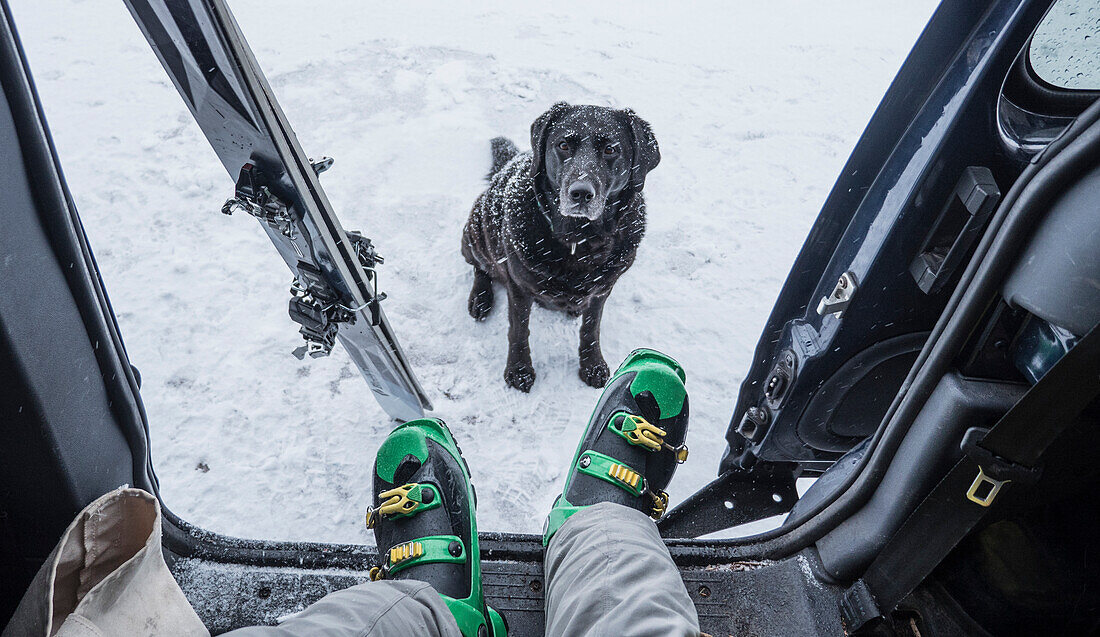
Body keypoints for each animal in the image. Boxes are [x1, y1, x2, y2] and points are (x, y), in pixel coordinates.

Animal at [462, 102, 660, 391]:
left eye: (610, 149)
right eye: (563, 145)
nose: (580, 193)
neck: (579, 239)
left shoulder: (603, 290)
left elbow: (591, 328)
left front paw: (592, 365)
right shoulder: (518, 287)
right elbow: (518, 330)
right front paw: (519, 370)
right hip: (475, 232)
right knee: (480, 267)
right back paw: (480, 298)